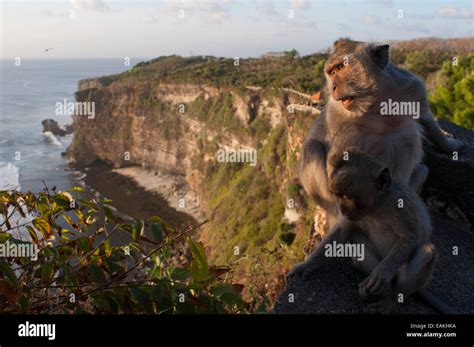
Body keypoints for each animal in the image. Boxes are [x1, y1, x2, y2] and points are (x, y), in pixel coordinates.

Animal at [286, 147, 436, 316]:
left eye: (347, 196)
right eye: (338, 196)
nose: (342, 209)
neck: (376, 207)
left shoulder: (399, 203)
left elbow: (410, 237)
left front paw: (383, 272)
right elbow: (340, 233)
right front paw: (306, 265)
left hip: (400, 272)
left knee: (426, 252)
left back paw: (390, 298)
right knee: (355, 237)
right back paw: (377, 288)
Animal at [298, 38, 462, 228]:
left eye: (340, 67)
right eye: (331, 72)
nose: (332, 87)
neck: (375, 101)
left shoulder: (412, 88)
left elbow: (426, 119)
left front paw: (449, 144)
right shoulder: (337, 116)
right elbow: (338, 160)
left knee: (410, 146)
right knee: (313, 148)